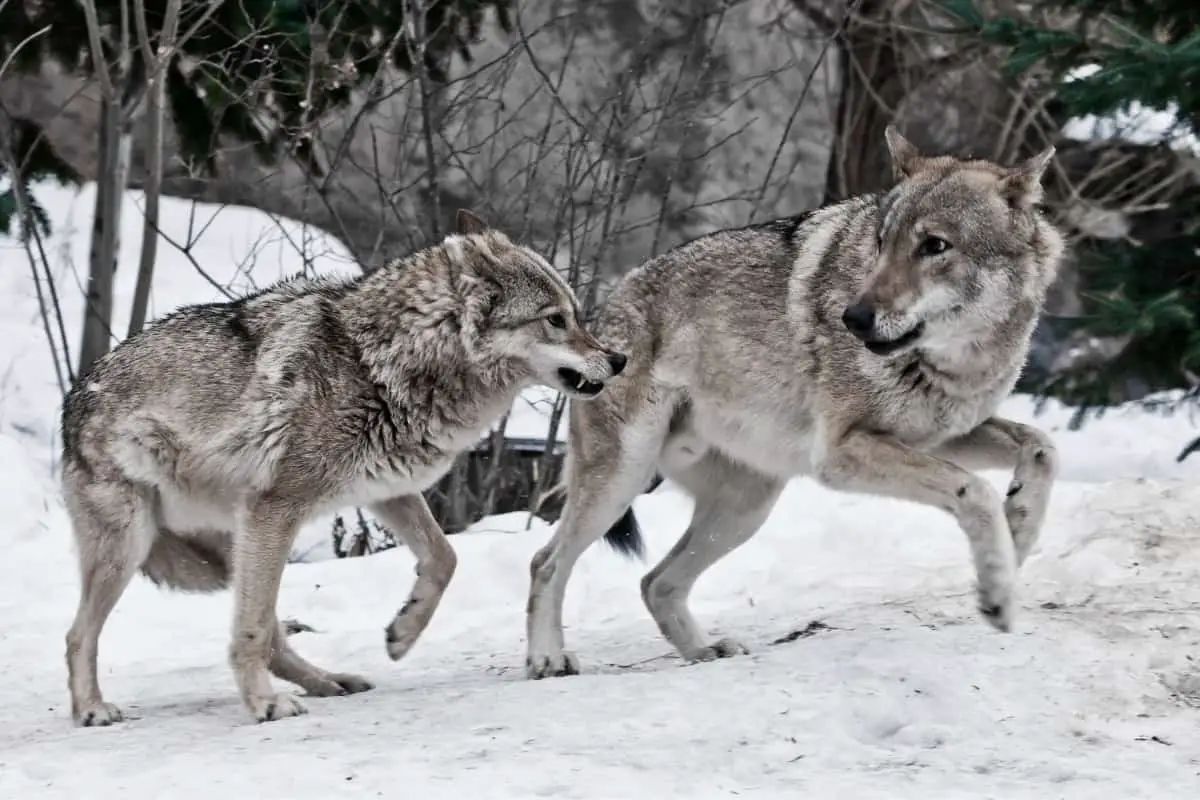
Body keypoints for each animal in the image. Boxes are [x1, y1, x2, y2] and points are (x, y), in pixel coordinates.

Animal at [62, 211, 628, 724]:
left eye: (578, 315)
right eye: (555, 319)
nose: (619, 359)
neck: (381, 360)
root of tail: (74, 399)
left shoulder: (386, 489)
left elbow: (444, 558)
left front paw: (403, 632)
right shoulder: (277, 507)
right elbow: (249, 628)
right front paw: (263, 705)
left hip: (232, 545)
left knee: (272, 633)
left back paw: (328, 682)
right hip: (137, 547)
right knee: (78, 635)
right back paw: (92, 709)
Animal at [520, 128, 1065, 681]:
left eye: (935, 246)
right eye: (882, 242)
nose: (854, 318)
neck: (953, 361)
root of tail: (598, 315)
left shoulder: (940, 436)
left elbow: (1042, 446)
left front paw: (1017, 535)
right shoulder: (843, 453)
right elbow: (975, 490)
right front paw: (997, 591)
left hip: (745, 508)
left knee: (656, 583)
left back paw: (704, 651)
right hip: (625, 479)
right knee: (546, 562)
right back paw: (547, 658)